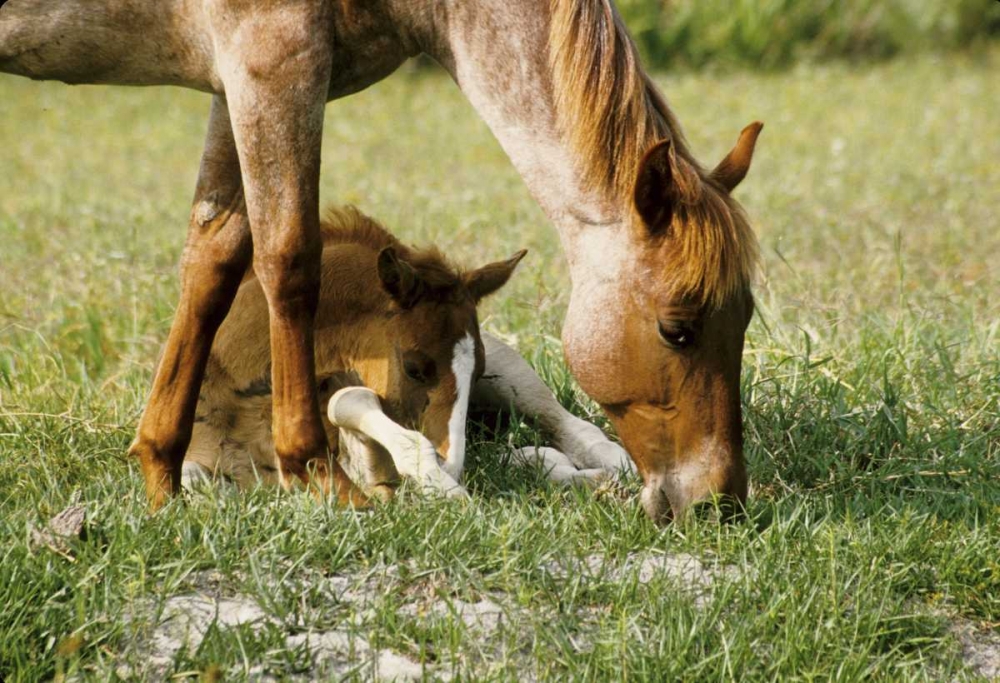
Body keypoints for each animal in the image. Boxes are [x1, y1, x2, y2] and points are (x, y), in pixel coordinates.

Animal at [182, 206, 631, 499]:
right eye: (415, 368)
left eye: (476, 372)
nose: (452, 463)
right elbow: (195, 480)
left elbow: (356, 409)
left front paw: (439, 484)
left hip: (511, 368)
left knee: (563, 423)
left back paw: (614, 466)